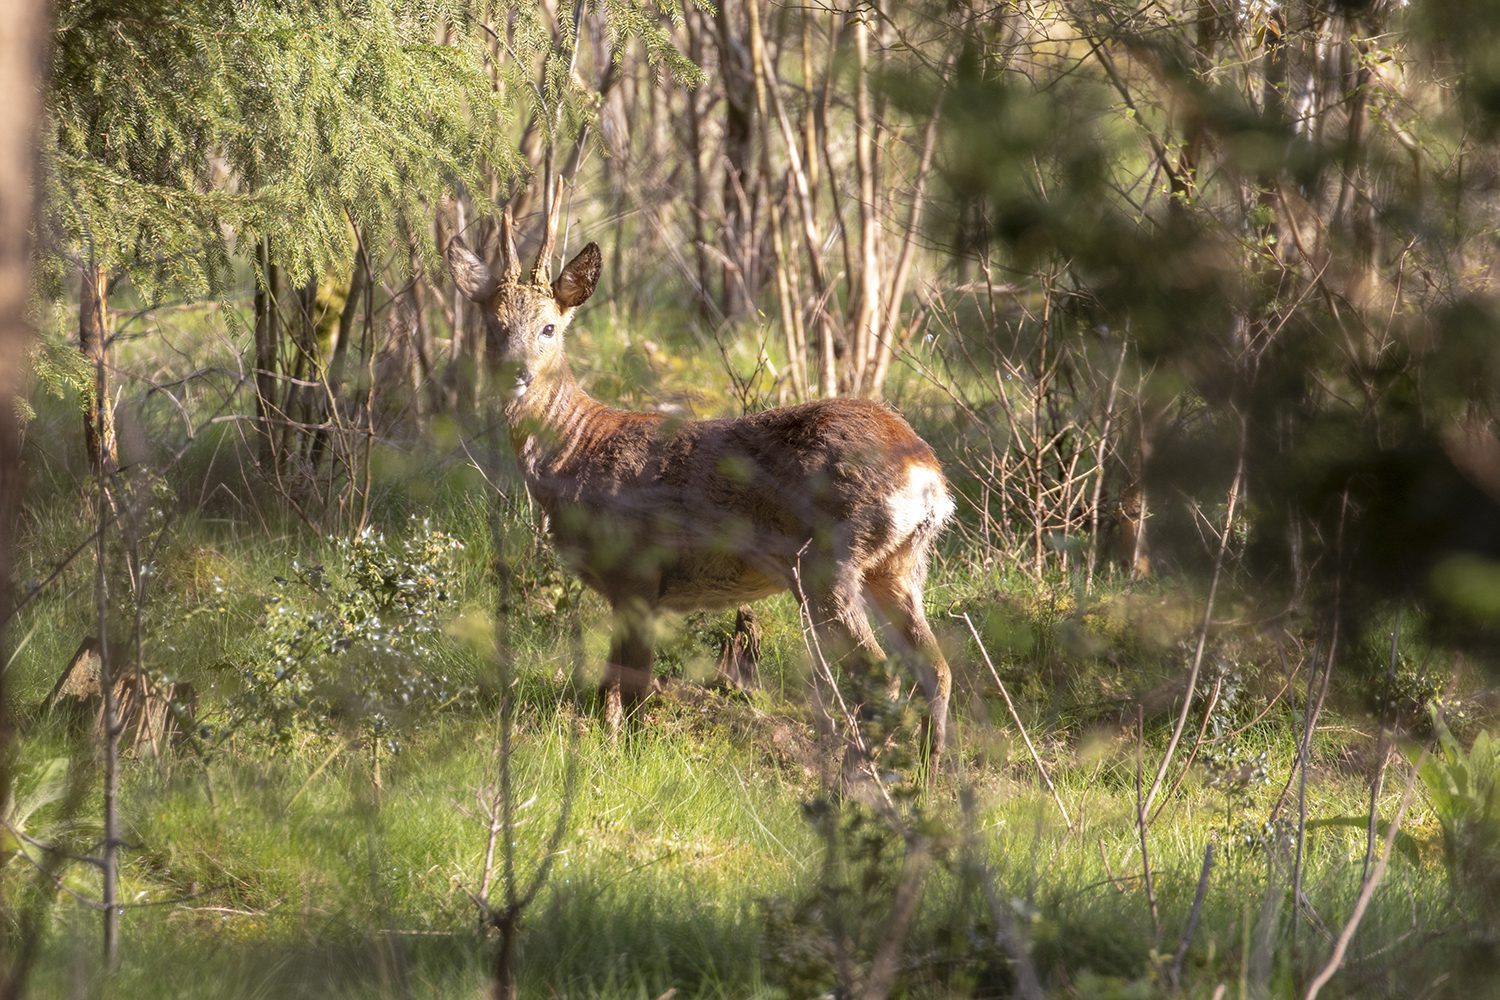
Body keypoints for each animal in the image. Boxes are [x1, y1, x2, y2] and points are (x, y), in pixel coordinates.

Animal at [444, 206, 954, 773]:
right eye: (494, 327)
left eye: (548, 327)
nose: (518, 373)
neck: (577, 447)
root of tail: (926, 473)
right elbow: (612, 681)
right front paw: (614, 746)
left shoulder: (638, 568)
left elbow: (632, 683)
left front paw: (628, 756)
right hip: (899, 565)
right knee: (936, 666)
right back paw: (928, 773)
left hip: (827, 559)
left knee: (880, 672)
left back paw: (861, 768)